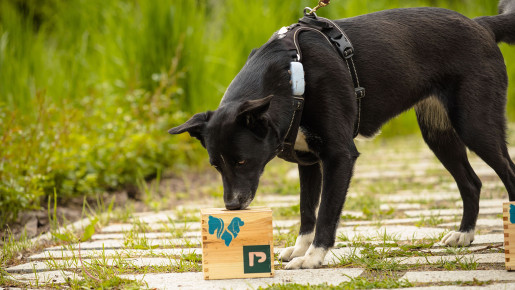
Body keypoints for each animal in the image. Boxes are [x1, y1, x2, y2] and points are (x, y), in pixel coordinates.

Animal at [171, 0, 515, 270]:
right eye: (216, 166)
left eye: (242, 162)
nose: (231, 206)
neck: (293, 76)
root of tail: (481, 26)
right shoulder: (308, 162)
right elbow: (307, 211)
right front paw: (300, 249)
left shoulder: (339, 156)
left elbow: (326, 212)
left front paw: (312, 257)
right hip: (437, 133)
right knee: (471, 183)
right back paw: (465, 234)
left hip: (475, 124)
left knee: (507, 173)